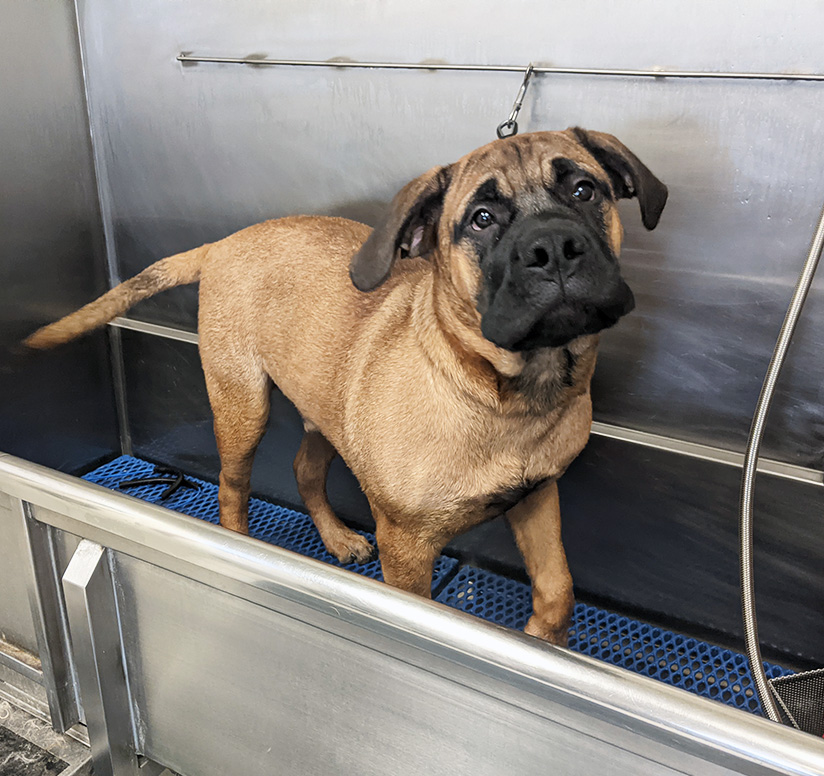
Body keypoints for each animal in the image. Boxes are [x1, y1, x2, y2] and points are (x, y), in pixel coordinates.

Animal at [25, 130, 668, 644]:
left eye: (584, 190)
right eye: (481, 219)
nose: (553, 248)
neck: (503, 390)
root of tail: (225, 243)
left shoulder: (538, 493)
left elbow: (558, 587)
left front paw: (544, 638)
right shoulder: (407, 549)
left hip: (327, 411)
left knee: (306, 471)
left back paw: (335, 539)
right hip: (243, 405)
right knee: (233, 488)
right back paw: (240, 545)